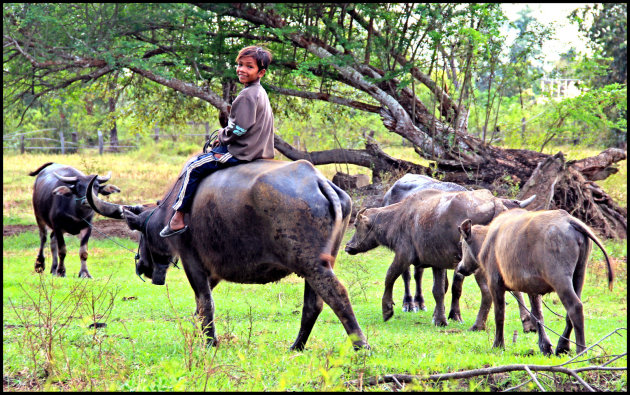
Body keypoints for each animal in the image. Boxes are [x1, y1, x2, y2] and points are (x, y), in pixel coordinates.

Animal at [86, 159, 368, 352]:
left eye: (141, 233)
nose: (142, 266)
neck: (171, 209)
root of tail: (318, 180)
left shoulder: (192, 261)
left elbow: (205, 303)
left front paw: (211, 342)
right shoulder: (214, 271)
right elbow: (200, 305)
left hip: (311, 264)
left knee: (337, 294)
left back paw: (360, 345)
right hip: (317, 265)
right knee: (314, 303)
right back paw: (296, 346)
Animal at [346, 188, 540, 332]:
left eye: (355, 224)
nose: (348, 246)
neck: (399, 217)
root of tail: (496, 203)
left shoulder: (403, 255)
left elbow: (390, 277)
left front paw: (387, 310)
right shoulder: (437, 263)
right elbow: (438, 290)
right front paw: (439, 319)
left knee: (487, 293)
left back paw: (478, 325)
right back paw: (527, 323)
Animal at [380, 173, 470, 312]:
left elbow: (456, 286)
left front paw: (454, 313)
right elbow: (443, 285)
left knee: (418, 275)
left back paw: (419, 302)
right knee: (406, 275)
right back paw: (408, 303)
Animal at [456, 209, 616, 358]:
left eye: (462, 243)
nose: (460, 268)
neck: (488, 242)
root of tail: (569, 220)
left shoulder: (495, 283)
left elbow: (499, 314)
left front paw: (498, 345)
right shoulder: (532, 290)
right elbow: (537, 316)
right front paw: (545, 346)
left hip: (560, 278)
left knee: (575, 307)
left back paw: (580, 350)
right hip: (579, 275)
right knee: (571, 311)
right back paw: (562, 346)